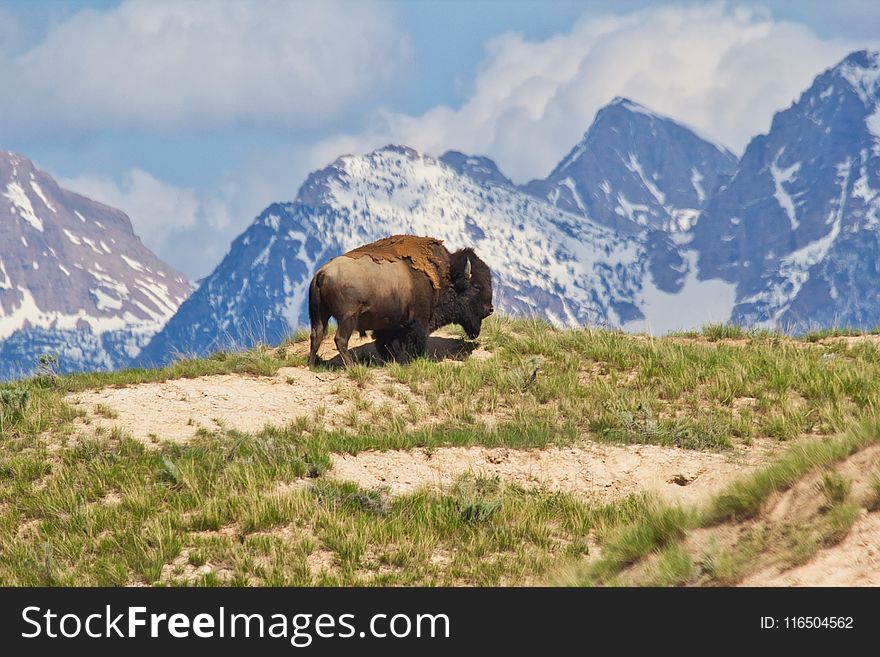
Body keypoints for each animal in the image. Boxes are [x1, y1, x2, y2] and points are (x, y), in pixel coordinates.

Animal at [306, 236, 492, 368]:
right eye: (477, 286)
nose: (490, 309)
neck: (443, 277)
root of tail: (322, 273)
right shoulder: (418, 321)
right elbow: (414, 343)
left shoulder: (389, 325)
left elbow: (387, 344)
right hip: (348, 318)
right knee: (340, 339)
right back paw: (351, 366)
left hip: (320, 315)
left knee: (316, 335)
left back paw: (312, 364)